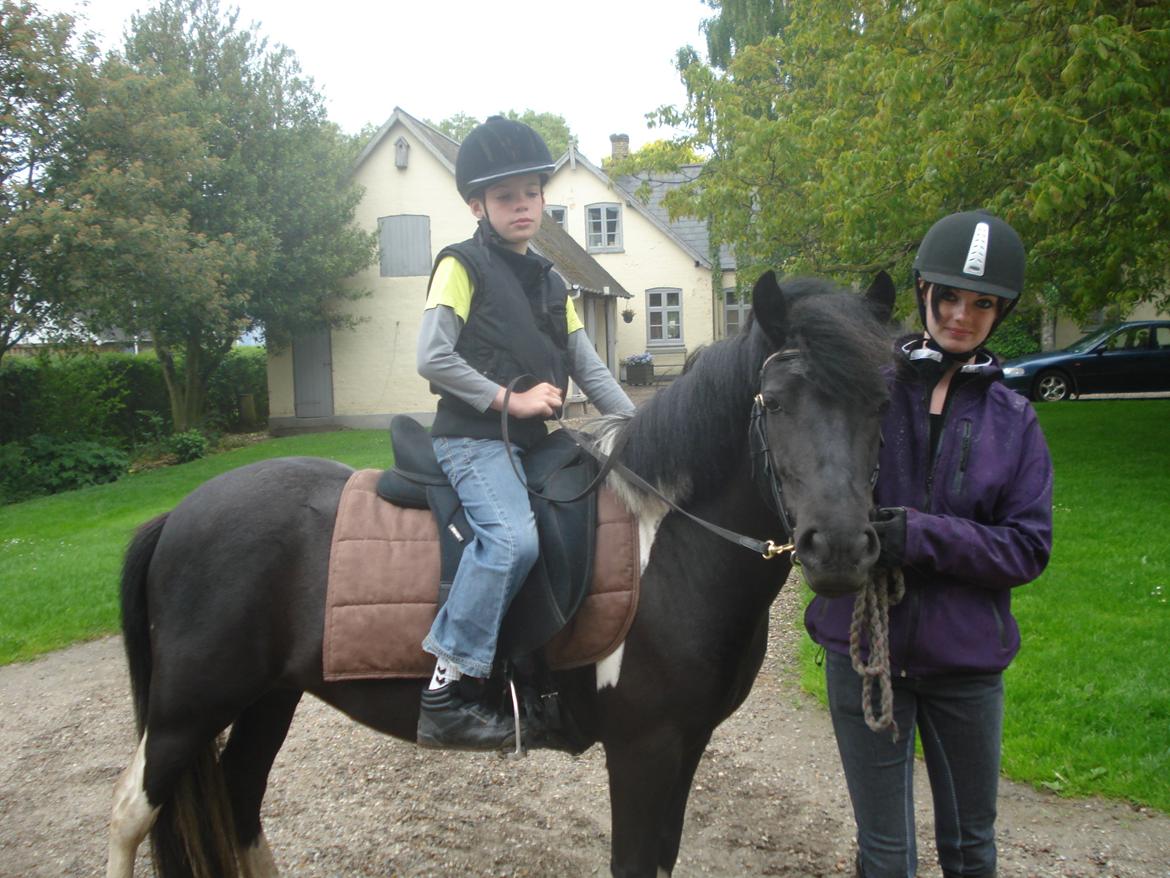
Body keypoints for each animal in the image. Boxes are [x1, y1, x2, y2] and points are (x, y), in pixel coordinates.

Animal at [109, 271, 893, 875]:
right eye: (776, 402)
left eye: (880, 402)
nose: (840, 549)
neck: (668, 546)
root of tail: (177, 515)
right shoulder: (643, 749)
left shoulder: (686, 743)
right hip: (187, 710)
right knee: (130, 815)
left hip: (269, 696)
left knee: (241, 802)